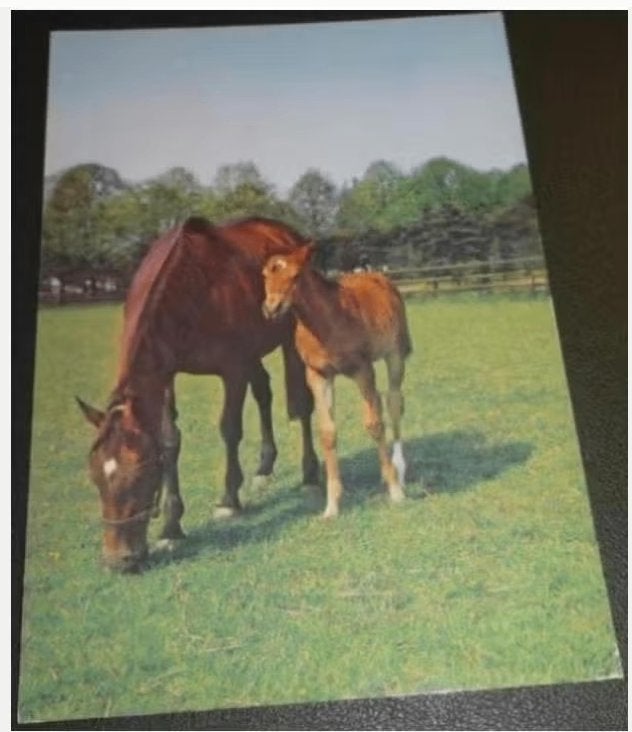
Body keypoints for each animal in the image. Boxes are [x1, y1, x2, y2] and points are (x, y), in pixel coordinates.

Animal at [77, 216, 319, 572]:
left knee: (302, 404)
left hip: (290, 338)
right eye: (96, 478)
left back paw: (310, 474)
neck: (193, 288)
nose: (118, 560)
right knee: (264, 392)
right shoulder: (166, 374)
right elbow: (169, 440)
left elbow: (230, 429)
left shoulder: (233, 369)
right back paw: (263, 470)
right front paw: (171, 527)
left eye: (141, 476)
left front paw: (228, 501)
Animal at [262, 243, 411, 518]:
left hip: (395, 355)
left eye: (295, 276)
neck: (325, 322)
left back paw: (399, 471)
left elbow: (375, 424)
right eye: (265, 275)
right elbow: (327, 432)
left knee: (394, 403)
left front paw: (395, 491)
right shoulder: (318, 375)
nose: (271, 309)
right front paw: (331, 506)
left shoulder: (363, 370)